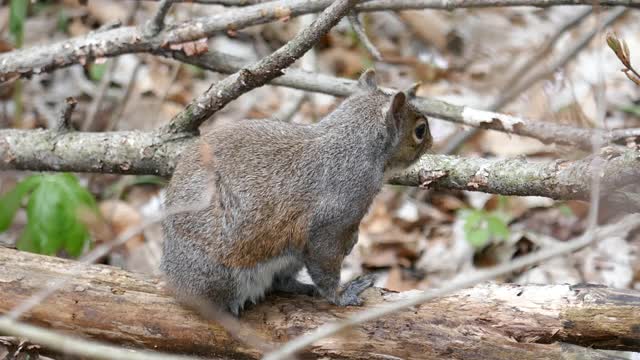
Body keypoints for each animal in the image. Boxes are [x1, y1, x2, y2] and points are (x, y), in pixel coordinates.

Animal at [159, 69, 432, 316]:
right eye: (420, 130)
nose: (431, 143)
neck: (352, 144)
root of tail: (172, 274)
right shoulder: (333, 219)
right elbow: (326, 262)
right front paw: (341, 295)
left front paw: (353, 241)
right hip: (222, 273)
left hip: (290, 257)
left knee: (280, 281)